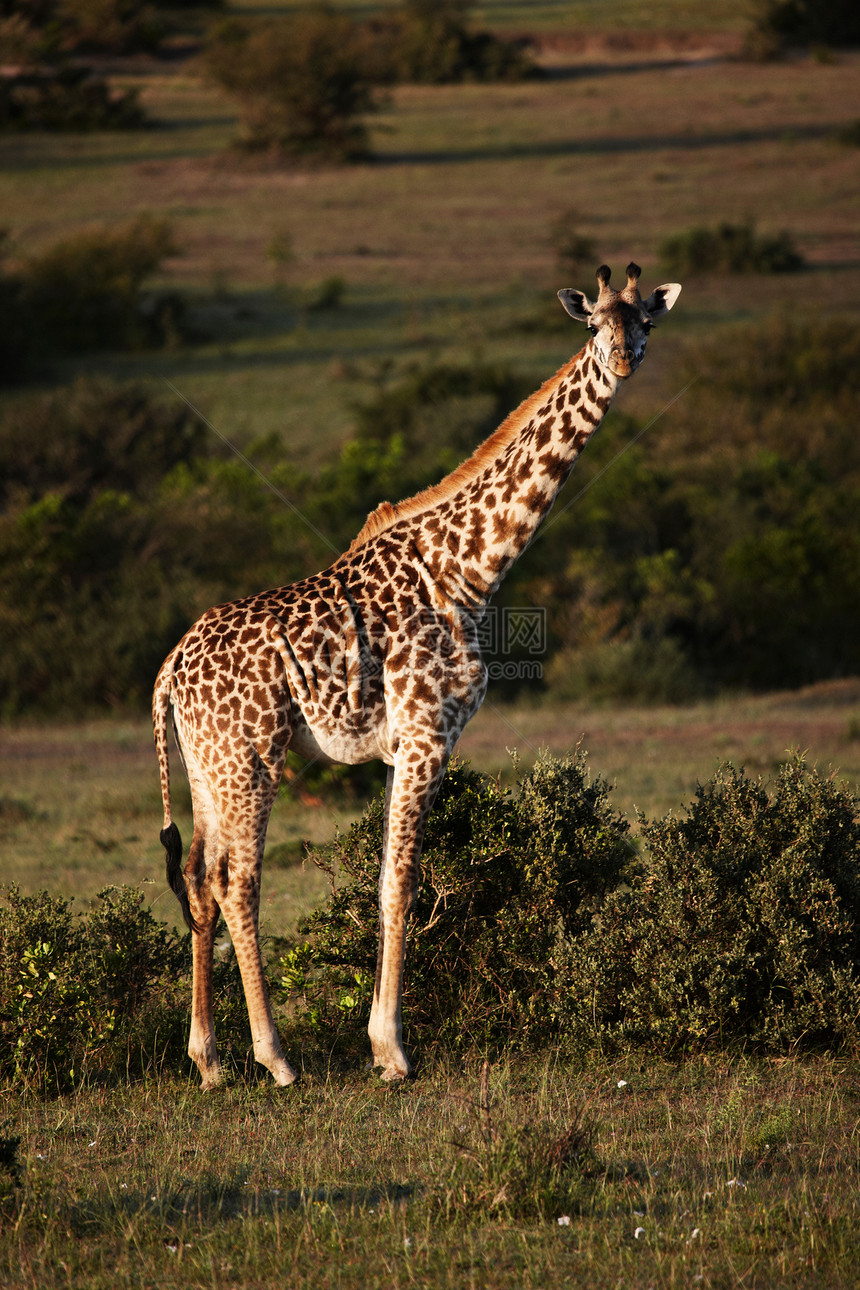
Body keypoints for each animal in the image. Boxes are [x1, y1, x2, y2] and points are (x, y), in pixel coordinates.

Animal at [152, 264, 680, 1088]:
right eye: (595, 325)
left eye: (646, 323)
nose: (625, 360)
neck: (468, 569)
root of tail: (172, 665)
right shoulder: (429, 734)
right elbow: (399, 885)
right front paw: (391, 1051)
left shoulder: (411, 745)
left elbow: (391, 883)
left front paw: (383, 1042)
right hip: (251, 761)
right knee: (240, 886)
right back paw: (276, 1058)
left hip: (207, 767)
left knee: (203, 884)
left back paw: (208, 1060)